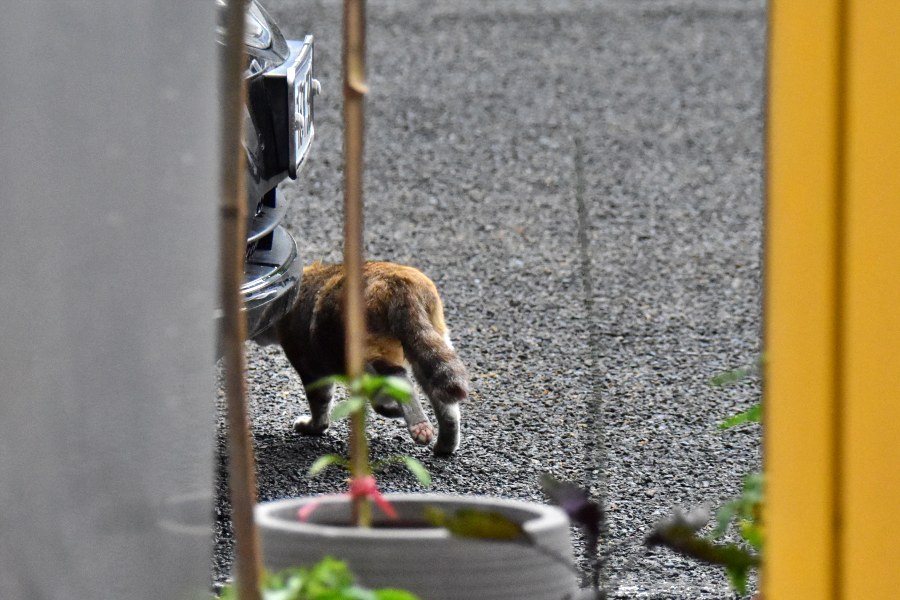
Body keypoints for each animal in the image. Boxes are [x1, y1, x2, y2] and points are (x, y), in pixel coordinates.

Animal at [258, 262, 472, 454]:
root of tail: (400, 281)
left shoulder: (309, 362)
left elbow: (321, 400)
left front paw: (315, 426)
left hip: (371, 339)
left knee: (398, 376)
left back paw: (412, 418)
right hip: (430, 335)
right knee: (436, 388)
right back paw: (447, 439)